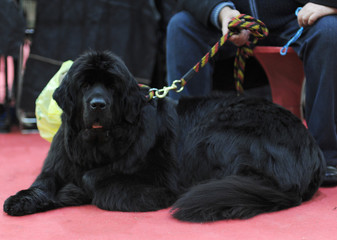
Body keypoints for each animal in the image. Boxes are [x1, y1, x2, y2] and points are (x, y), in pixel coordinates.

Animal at [3, 50, 324, 221]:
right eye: (84, 85)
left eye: (112, 86)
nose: (97, 104)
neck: (96, 145)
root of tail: (309, 147)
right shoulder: (58, 164)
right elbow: (43, 182)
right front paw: (22, 200)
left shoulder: (154, 181)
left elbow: (97, 183)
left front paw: (73, 191)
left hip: (214, 133)